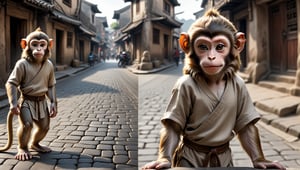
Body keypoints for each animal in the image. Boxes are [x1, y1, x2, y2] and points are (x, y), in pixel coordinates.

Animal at [0, 27, 57, 161]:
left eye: (42, 44)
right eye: (34, 44)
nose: (39, 49)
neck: (35, 61)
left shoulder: (50, 66)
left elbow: (50, 86)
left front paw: (53, 107)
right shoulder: (20, 64)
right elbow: (12, 83)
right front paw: (13, 107)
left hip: (42, 110)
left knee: (43, 126)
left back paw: (35, 145)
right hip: (25, 105)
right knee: (27, 125)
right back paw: (23, 149)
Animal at [143, 8, 286, 169]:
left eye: (220, 47)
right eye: (203, 47)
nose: (211, 57)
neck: (214, 80)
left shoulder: (241, 86)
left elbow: (247, 129)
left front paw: (261, 161)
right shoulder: (182, 88)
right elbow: (172, 128)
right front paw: (162, 161)